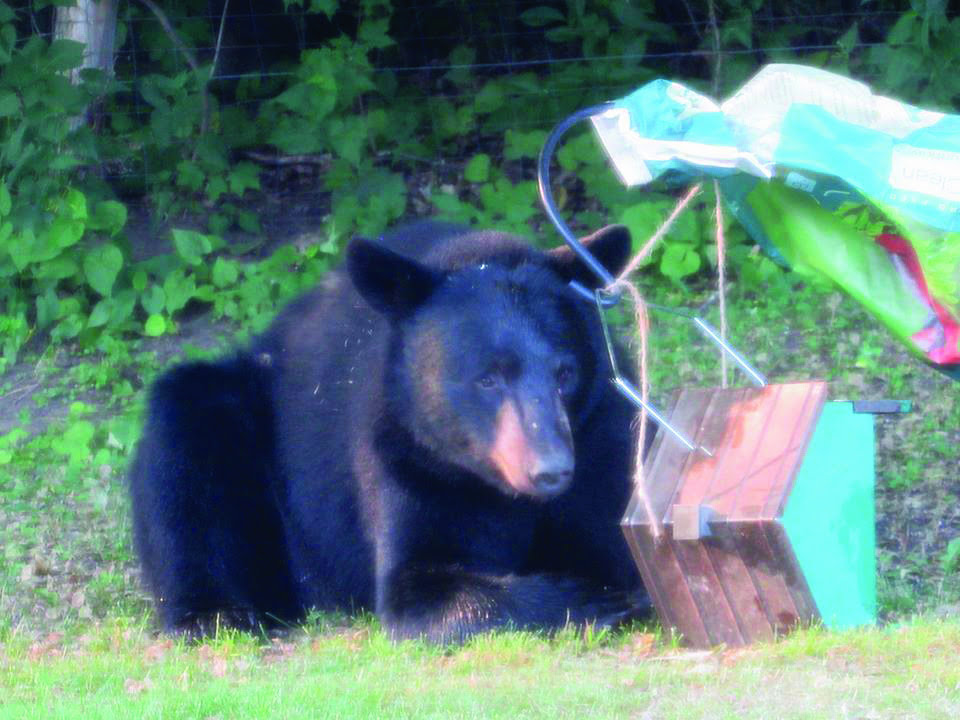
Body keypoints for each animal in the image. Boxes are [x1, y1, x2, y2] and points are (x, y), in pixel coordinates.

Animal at [128, 221, 650, 643]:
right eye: (488, 378)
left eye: (564, 373)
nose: (550, 470)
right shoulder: (408, 454)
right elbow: (417, 587)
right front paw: (589, 599)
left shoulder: (602, 435)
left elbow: (617, 525)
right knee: (183, 451)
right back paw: (215, 615)